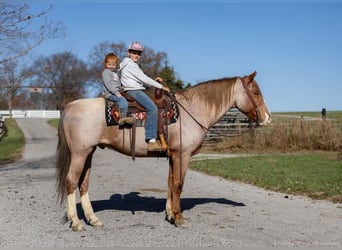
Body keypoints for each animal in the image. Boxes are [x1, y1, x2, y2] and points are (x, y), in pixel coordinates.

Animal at [55, 70, 270, 230]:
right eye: (256, 93)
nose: (267, 118)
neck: (190, 111)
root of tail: (70, 106)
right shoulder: (182, 155)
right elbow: (178, 184)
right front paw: (179, 218)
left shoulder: (172, 155)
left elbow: (169, 183)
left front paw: (170, 214)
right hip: (79, 154)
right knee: (71, 182)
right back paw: (76, 222)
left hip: (89, 153)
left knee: (83, 184)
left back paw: (93, 219)